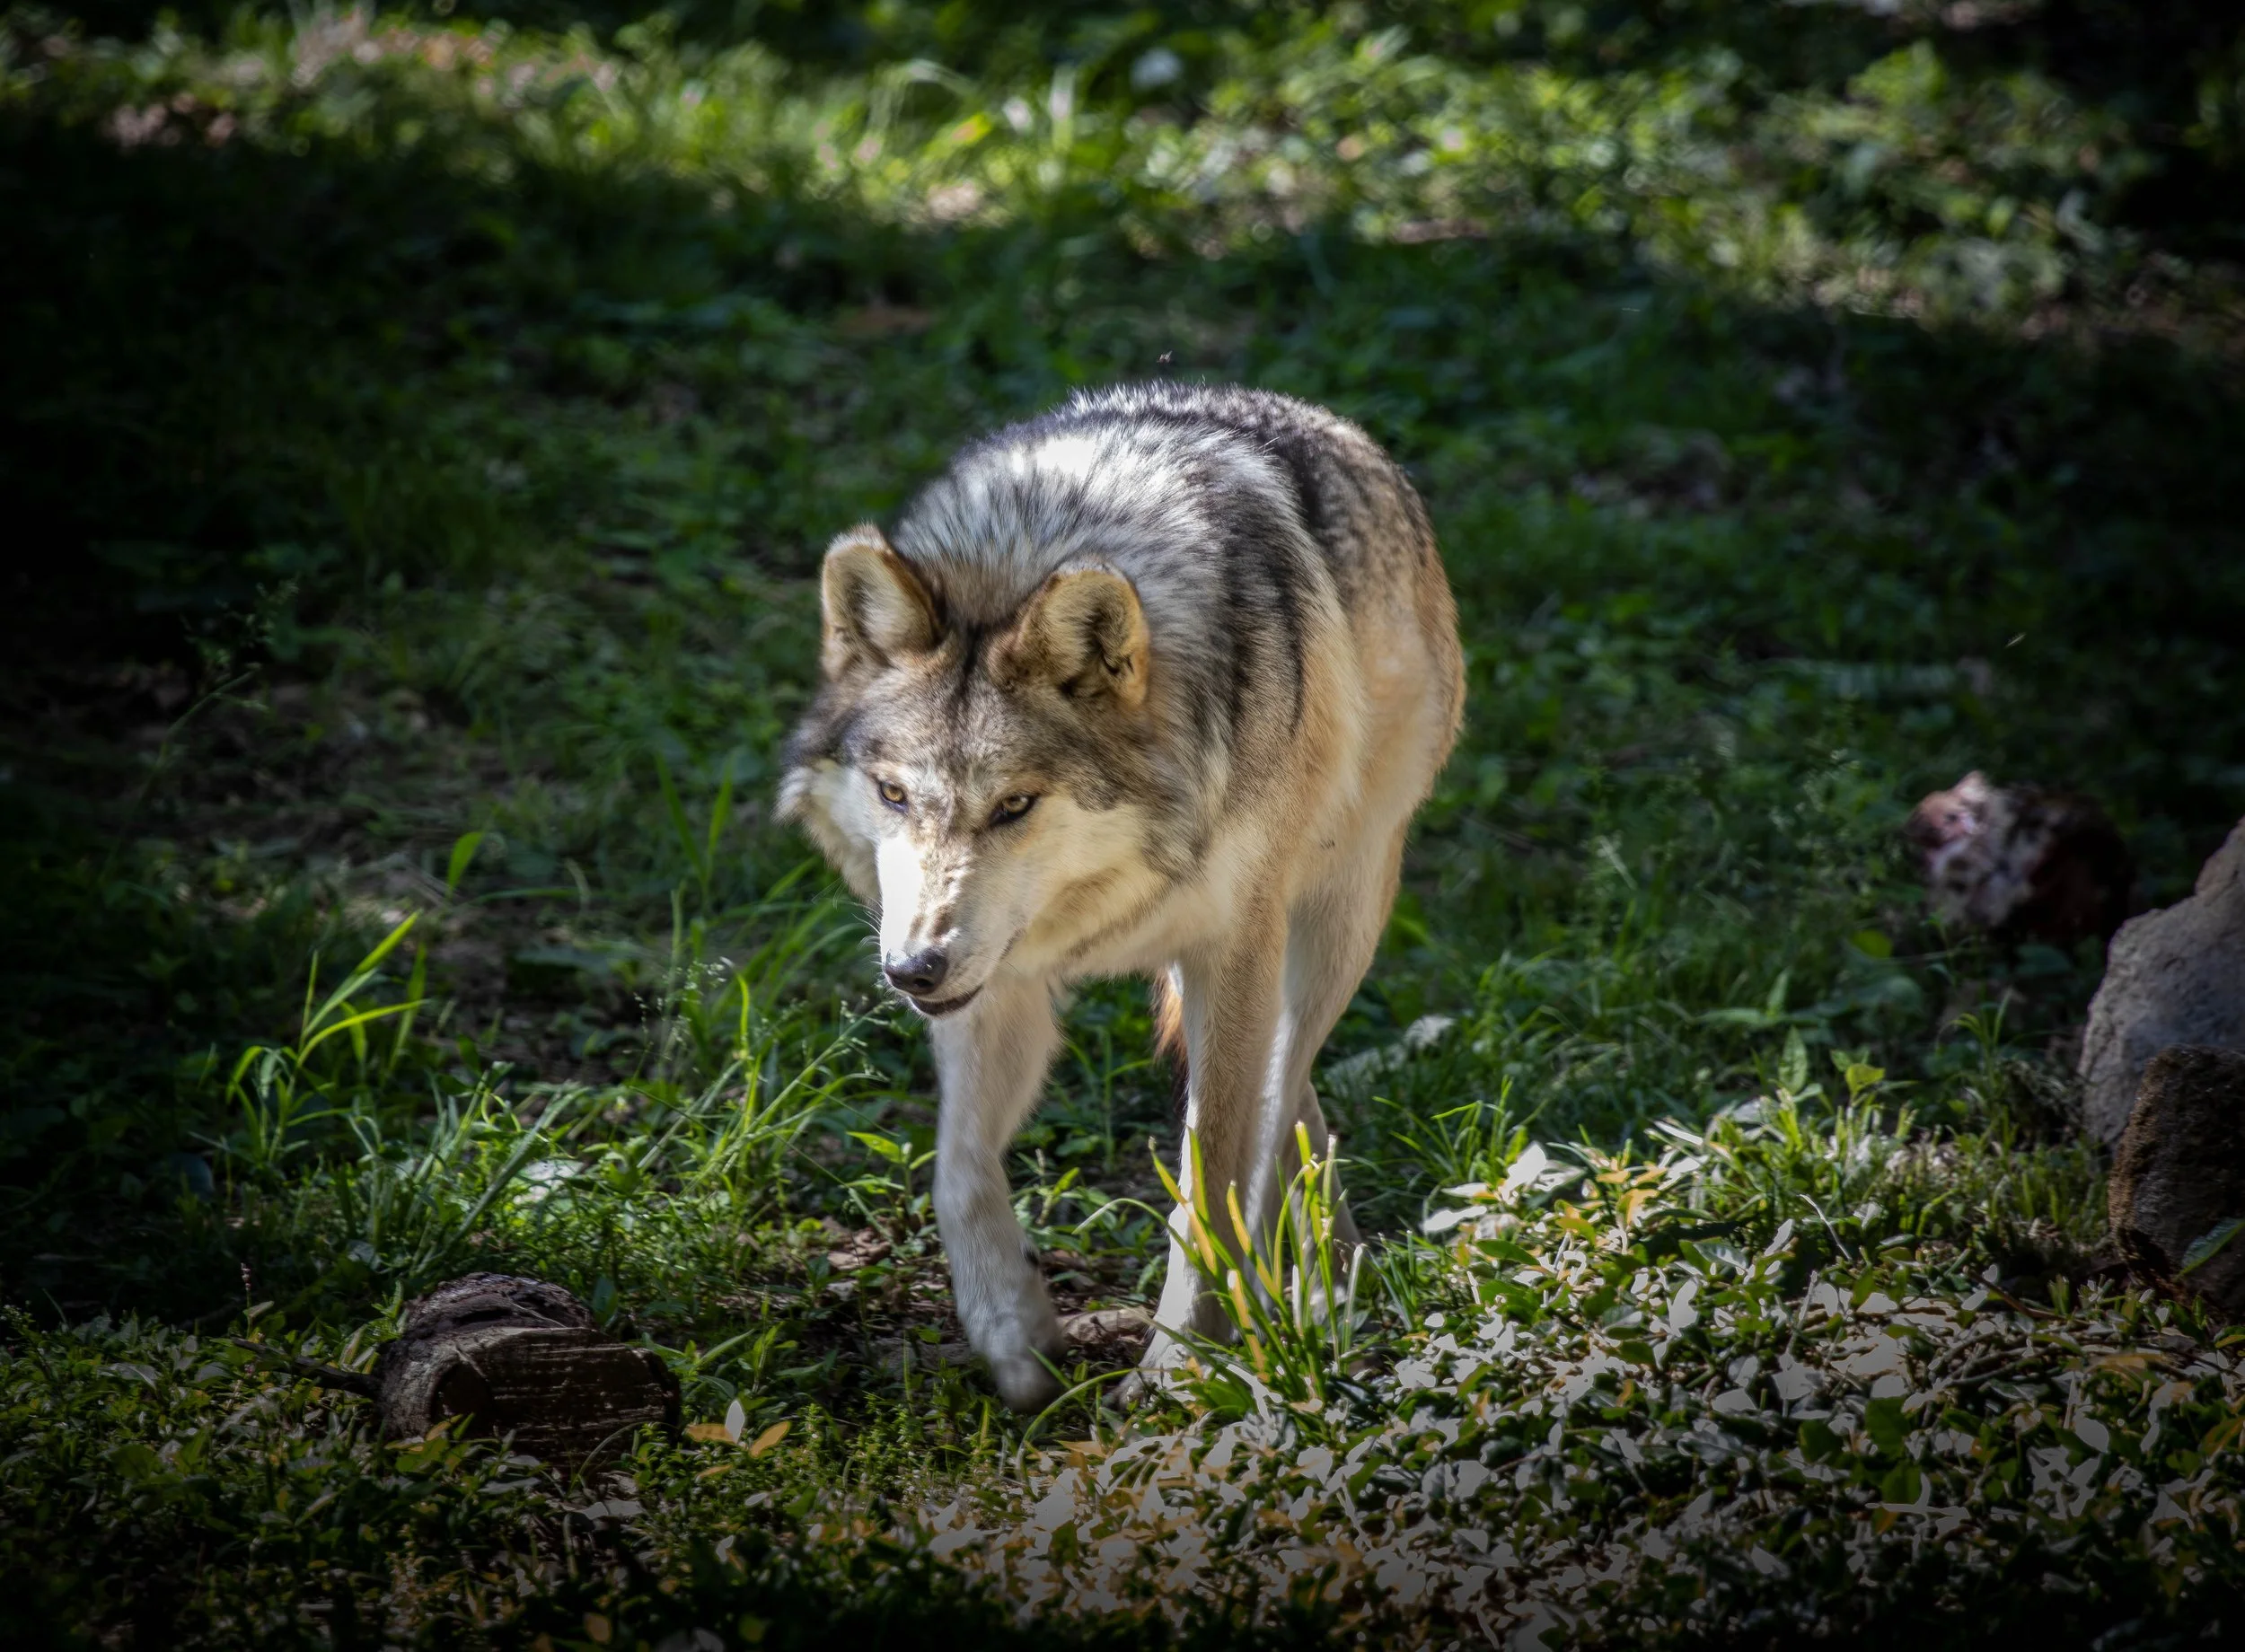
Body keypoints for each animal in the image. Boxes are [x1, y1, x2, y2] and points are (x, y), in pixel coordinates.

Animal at [780, 382, 1463, 1410]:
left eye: (1015, 805)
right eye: (895, 794)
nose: (912, 970)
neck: (1032, 550)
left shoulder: (1232, 947)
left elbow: (1212, 1175)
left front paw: (1181, 1363)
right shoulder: (999, 981)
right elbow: (957, 1168)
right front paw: (1012, 1329)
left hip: (1333, 923)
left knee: (1278, 1093)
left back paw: (1306, 1299)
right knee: (1289, 1103)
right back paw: (1332, 1283)